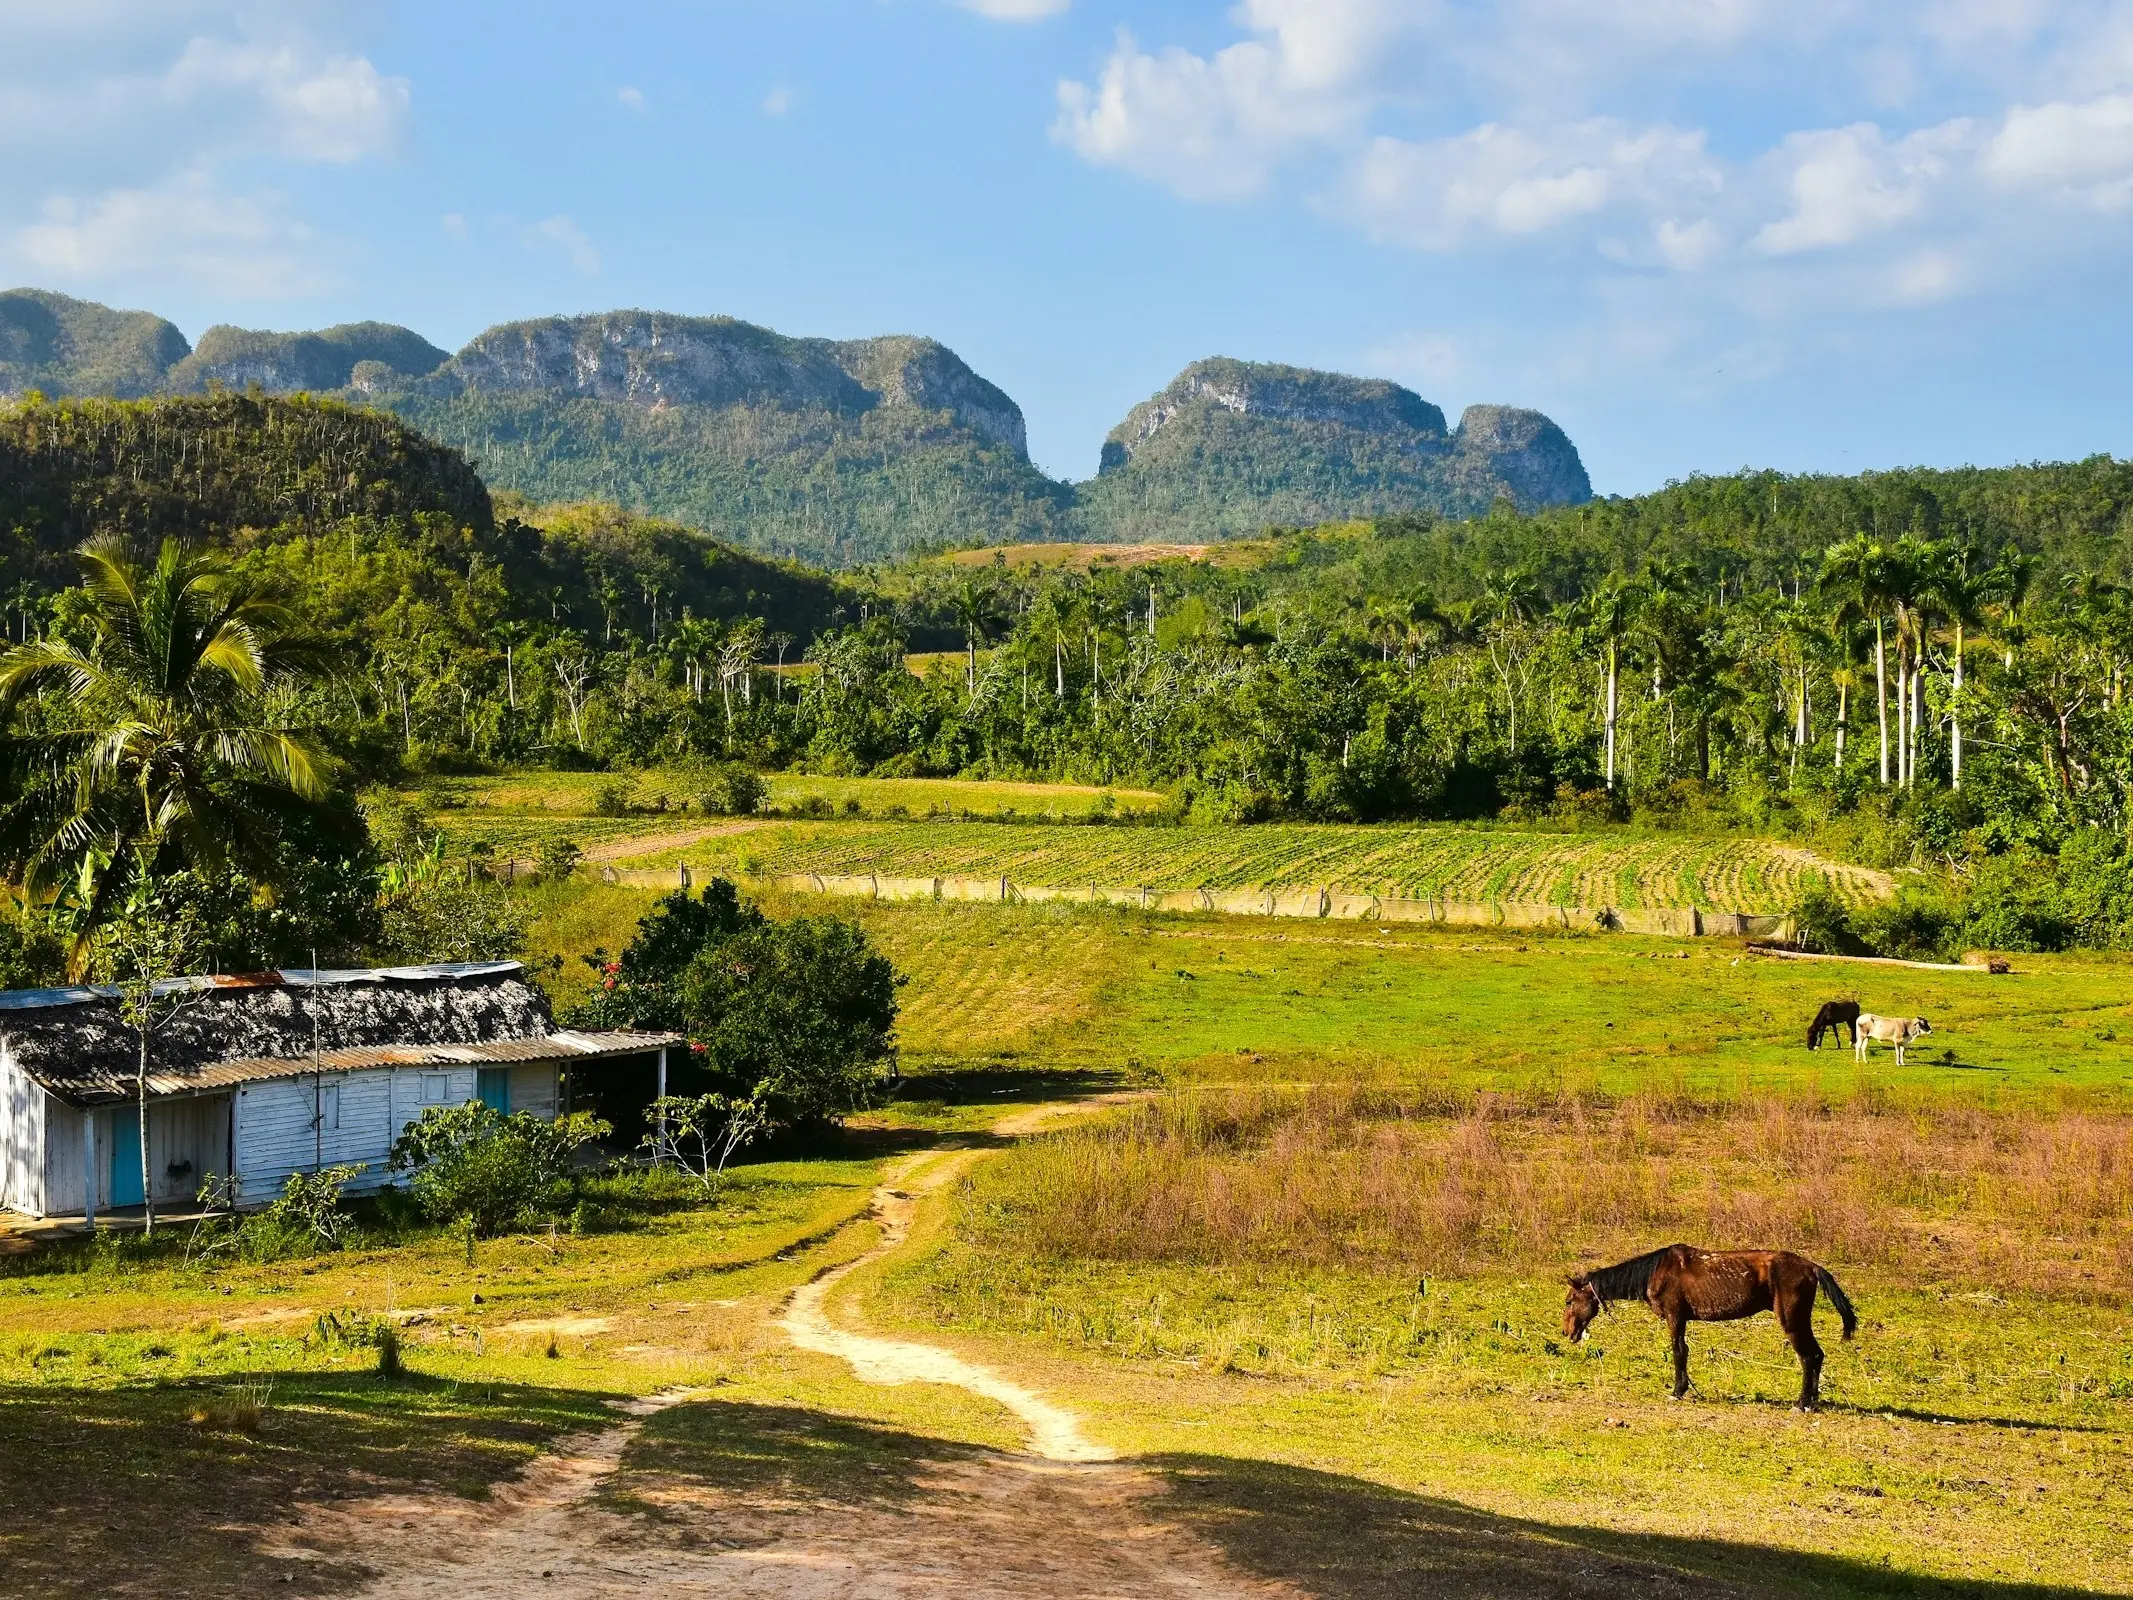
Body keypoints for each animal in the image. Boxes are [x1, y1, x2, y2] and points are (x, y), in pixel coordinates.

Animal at [1569, 1245, 1851, 1408]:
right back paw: (1813, 1400)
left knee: (1808, 1357)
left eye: (1569, 1300)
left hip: (1792, 1320)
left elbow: (1678, 1352)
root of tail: (1812, 1268)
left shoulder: (1675, 1317)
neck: (1656, 1271)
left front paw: (1677, 1391)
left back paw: (1802, 1402)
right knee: (1817, 1355)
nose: (1567, 1331)